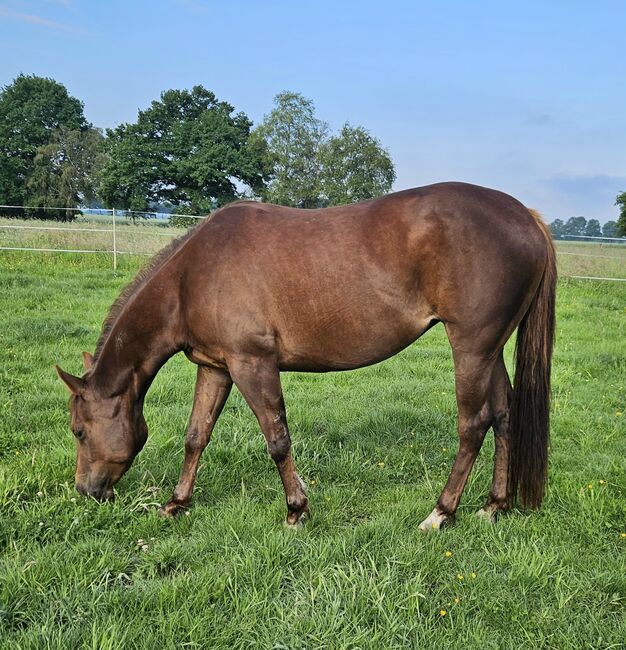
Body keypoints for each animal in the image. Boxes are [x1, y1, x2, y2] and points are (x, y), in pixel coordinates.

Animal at [57, 181, 556, 528]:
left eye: (79, 431)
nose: (86, 492)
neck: (192, 275)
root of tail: (527, 217)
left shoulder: (252, 364)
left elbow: (277, 438)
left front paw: (296, 510)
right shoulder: (216, 368)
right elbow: (196, 435)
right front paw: (177, 503)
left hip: (471, 347)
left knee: (473, 424)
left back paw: (441, 512)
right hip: (490, 350)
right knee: (504, 415)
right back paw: (494, 505)